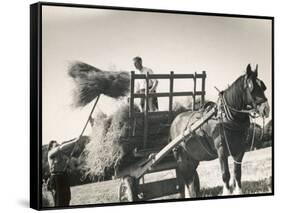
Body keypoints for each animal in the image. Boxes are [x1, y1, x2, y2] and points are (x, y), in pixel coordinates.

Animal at [168, 64, 270, 197]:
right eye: (251, 88)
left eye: (263, 87)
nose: (266, 109)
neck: (227, 118)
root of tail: (175, 120)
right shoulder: (221, 150)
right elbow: (225, 174)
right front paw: (226, 192)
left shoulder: (240, 149)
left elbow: (237, 173)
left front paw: (238, 191)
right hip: (181, 156)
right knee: (187, 178)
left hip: (192, 157)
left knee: (191, 176)